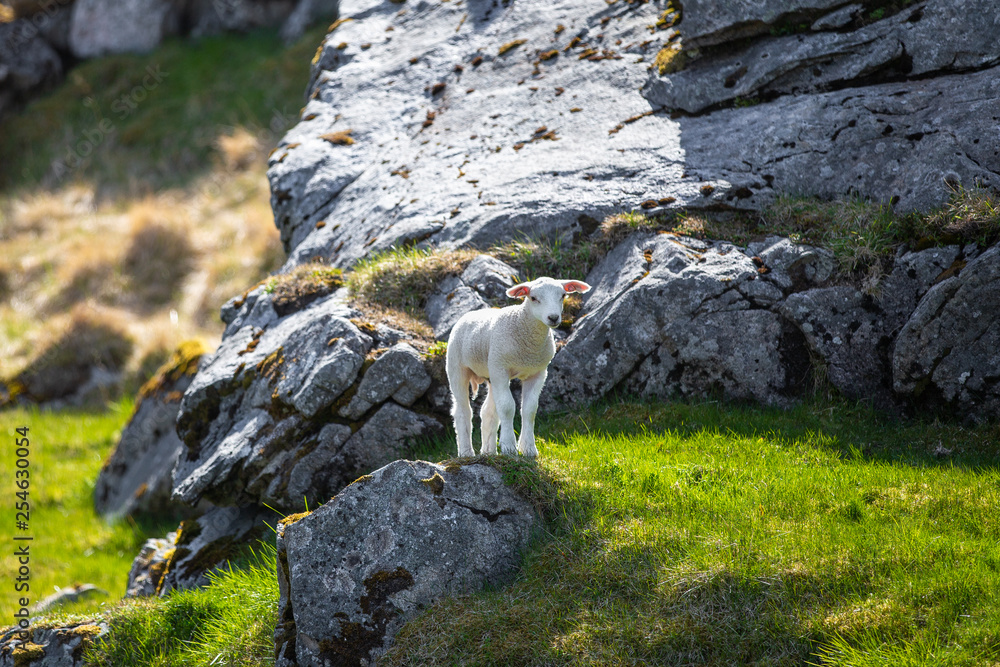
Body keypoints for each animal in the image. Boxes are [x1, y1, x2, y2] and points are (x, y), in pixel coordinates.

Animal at [448, 276, 592, 460]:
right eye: (533, 298)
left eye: (563, 295)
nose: (553, 318)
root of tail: (469, 314)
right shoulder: (501, 369)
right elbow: (507, 407)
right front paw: (509, 447)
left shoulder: (537, 373)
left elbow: (529, 409)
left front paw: (529, 449)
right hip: (457, 367)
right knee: (462, 411)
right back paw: (466, 452)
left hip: (491, 373)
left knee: (488, 412)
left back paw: (489, 452)